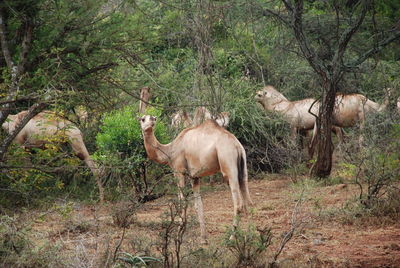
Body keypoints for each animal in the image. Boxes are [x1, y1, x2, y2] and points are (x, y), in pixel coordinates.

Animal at [139, 114, 252, 242]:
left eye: (148, 118)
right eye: (143, 119)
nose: (152, 120)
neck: (170, 150)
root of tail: (237, 146)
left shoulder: (179, 171)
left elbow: (182, 201)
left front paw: (178, 235)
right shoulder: (195, 177)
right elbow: (199, 205)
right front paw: (203, 238)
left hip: (228, 164)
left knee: (238, 203)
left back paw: (232, 237)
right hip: (243, 169)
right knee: (248, 201)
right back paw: (248, 236)